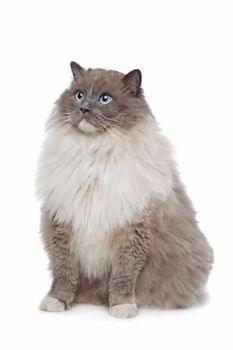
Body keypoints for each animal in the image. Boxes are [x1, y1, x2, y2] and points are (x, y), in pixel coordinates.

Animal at [37, 61, 214, 318]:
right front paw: (57, 301)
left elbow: (123, 276)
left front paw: (121, 307)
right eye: (79, 95)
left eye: (105, 99)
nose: (84, 109)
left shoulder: (132, 230)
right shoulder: (62, 224)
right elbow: (64, 273)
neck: (95, 152)